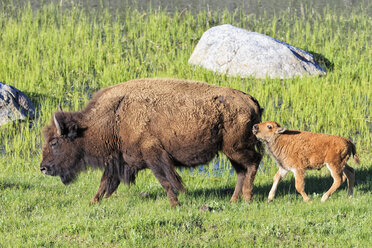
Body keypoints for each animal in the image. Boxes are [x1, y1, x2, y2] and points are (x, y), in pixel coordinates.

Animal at [40, 78, 264, 207]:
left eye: (54, 142)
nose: (43, 168)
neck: (115, 116)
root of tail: (251, 100)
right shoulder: (118, 160)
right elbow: (105, 182)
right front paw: (92, 202)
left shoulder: (153, 156)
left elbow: (165, 180)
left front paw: (174, 204)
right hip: (230, 151)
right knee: (241, 171)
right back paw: (234, 200)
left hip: (237, 148)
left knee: (253, 163)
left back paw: (247, 198)